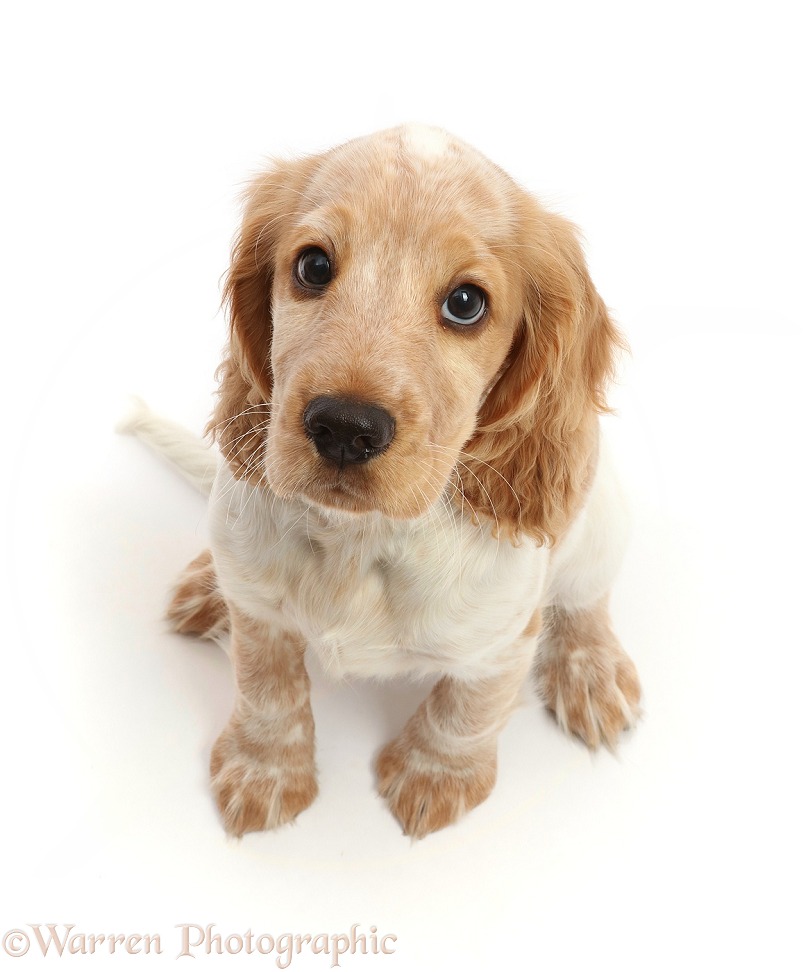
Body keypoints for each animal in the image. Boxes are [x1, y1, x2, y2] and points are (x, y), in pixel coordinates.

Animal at [155, 125, 640, 840]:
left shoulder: (501, 641)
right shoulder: (261, 615)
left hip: (600, 521)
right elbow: (266, 685)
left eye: (466, 303)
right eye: (313, 267)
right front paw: (264, 769)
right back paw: (205, 587)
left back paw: (591, 671)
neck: (363, 541)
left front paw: (434, 776)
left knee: (585, 600)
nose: (344, 427)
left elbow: (465, 712)